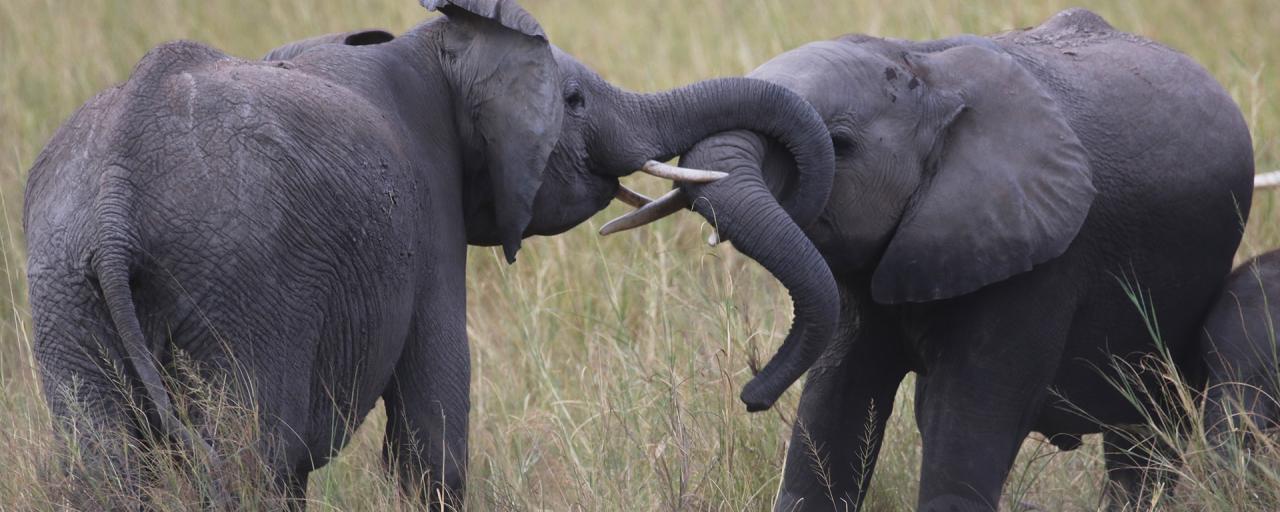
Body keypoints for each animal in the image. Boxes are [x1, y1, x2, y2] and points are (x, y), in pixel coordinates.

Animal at [24, 0, 839, 506]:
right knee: (249, 460)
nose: (751, 394)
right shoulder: (427, 205)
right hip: (240, 280)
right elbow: (432, 432)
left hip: (63, 284)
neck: (439, 46)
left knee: (107, 470)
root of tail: (117, 188)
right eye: (573, 102)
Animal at [604, 8, 1254, 512]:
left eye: (839, 144)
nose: (750, 396)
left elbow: (963, 426)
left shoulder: (1042, 262)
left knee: (1147, 432)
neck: (927, 71)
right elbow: (834, 409)